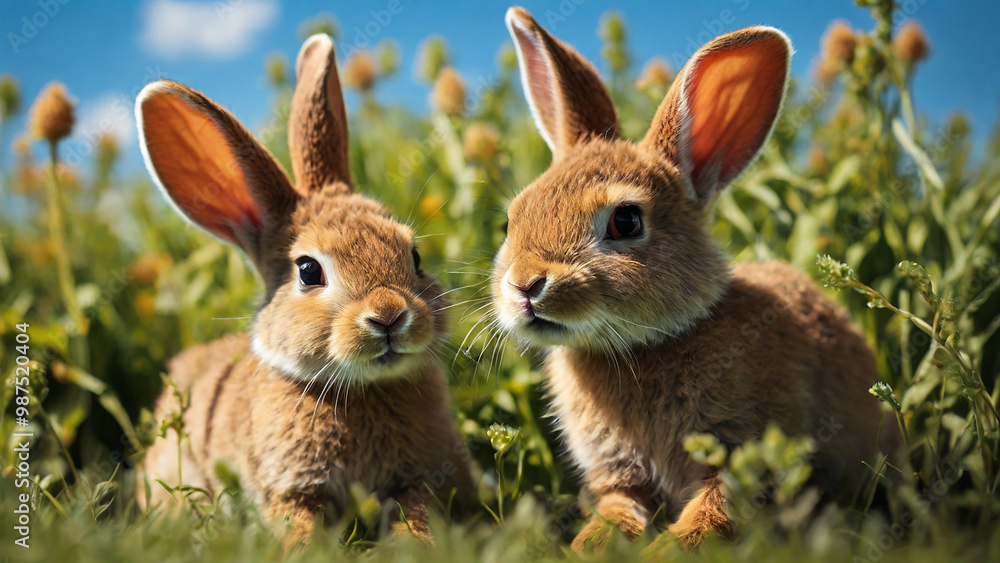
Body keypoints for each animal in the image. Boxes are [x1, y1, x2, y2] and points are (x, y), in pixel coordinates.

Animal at [133, 33, 473, 548]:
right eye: (309, 271)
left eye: (413, 256)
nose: (390, 316)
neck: (361, 390)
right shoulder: (289, 490)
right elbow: (297, 524)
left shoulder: (418, 478)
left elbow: (417, 511)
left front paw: (417, 546)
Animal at [494, 7, 899, 552]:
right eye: (511, 221)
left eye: (626, 222)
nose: (524, 286)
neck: (649, 344)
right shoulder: (621, 478)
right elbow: (616, 513)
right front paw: (588, 546)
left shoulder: (743, 456)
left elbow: (712, 516)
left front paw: (663, 553)